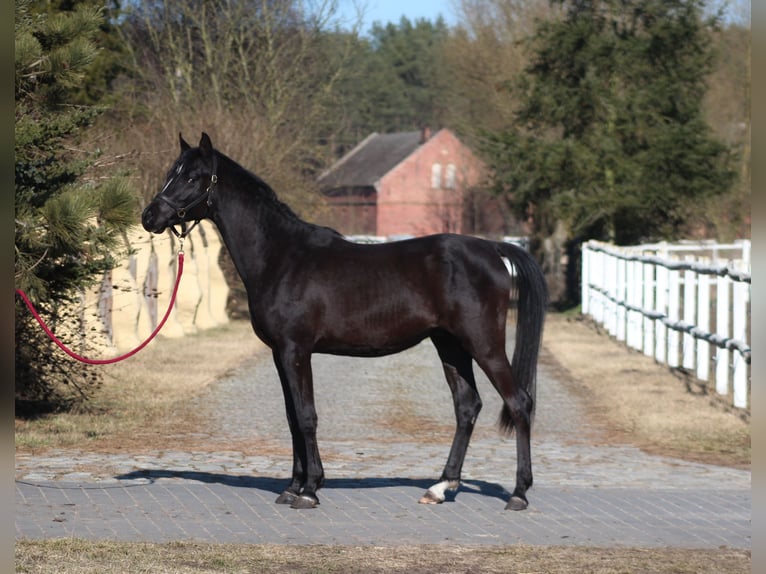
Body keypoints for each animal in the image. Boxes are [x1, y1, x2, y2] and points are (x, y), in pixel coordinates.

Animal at [142, 133, 547, 511]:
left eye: (193, 176)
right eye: (170, 172)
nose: (150, 217)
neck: (282, 256)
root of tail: (492, 248)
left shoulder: (296, 350)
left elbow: (306, 415)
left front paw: (309, 490)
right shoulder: (279, 354)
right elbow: (292, 417)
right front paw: (292, 486)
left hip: (484, 344)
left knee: (518, 402)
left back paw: (518, 493)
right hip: (449, 345)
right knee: (467, 406)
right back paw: (440, 487)